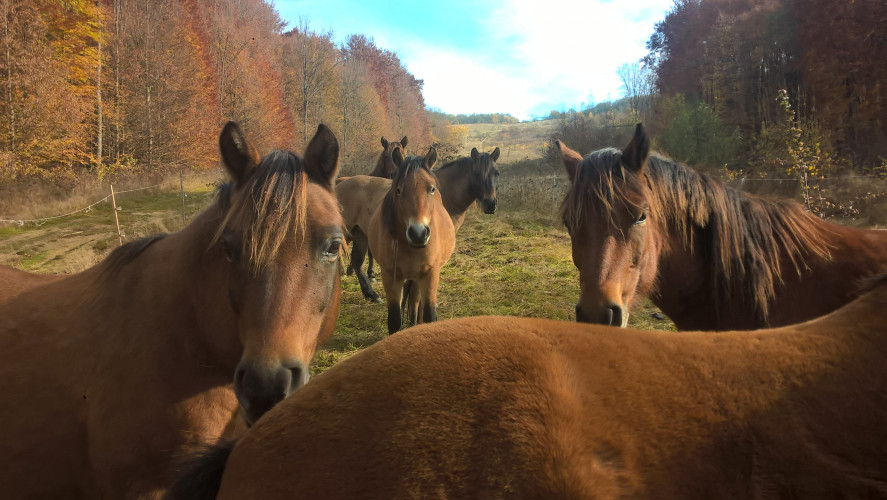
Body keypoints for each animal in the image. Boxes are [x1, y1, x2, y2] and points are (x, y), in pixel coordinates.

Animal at [366, 148, 455, 333]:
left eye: (431, 189)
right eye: (398, 190)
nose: (418, 233)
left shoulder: (430, 275)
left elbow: (429, 316)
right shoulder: (390, 278)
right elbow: (394, 320)